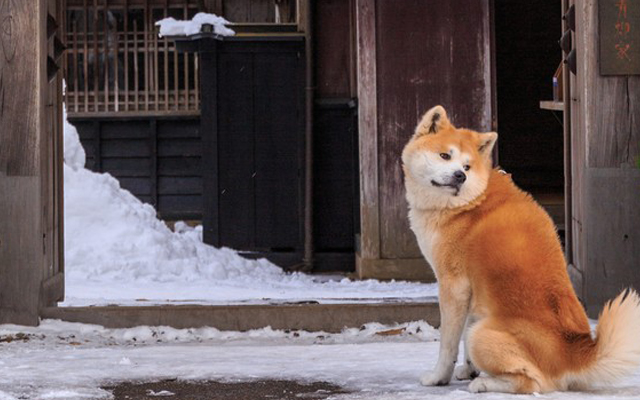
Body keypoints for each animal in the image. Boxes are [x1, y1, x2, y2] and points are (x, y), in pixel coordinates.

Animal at [402, 104, 640, 394]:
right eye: (445, 156)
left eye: (467, 166)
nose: (461, 175)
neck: (469, 203)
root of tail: (575, 354)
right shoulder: (473, 290)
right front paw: (468, 369)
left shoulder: (453, 285)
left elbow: (447, 344)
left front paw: (439, 377)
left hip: (482, 334)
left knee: (531, 382)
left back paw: (484, 383)